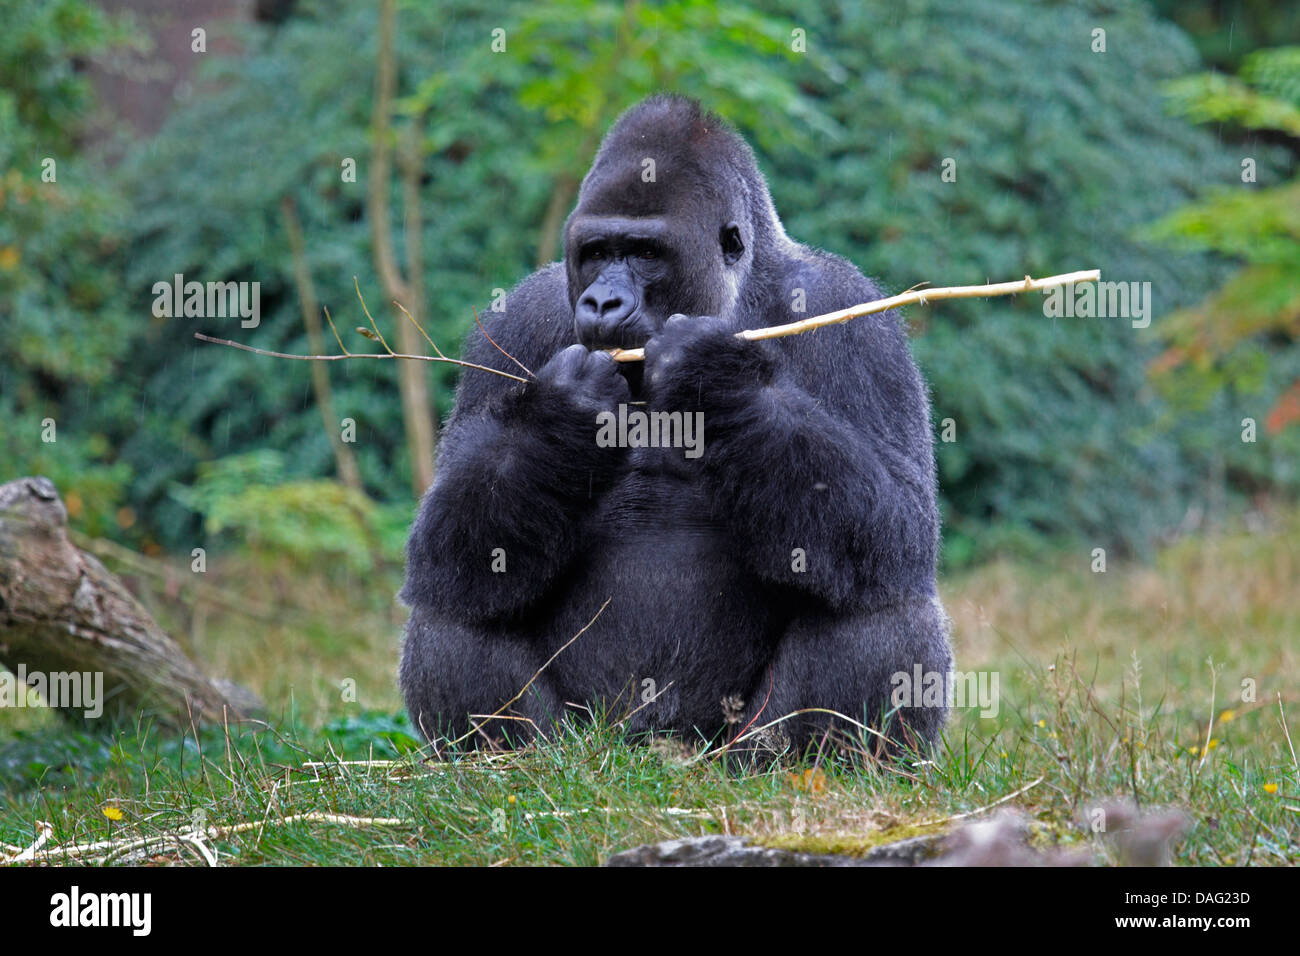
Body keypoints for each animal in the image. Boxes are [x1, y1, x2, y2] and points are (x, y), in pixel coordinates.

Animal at [397, 93, 956, 759]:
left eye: (644, 253)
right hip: (588, 738)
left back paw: (818, 765)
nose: (602, 303)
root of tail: (663, 752)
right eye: (596, 252)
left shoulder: (849, 311)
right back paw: (514, 761)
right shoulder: (516, 320)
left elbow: (901, 523)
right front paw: (561, 416)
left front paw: (713, 379)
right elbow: (444, 532)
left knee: (884, 603)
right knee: (455, 599)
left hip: (732, 747)